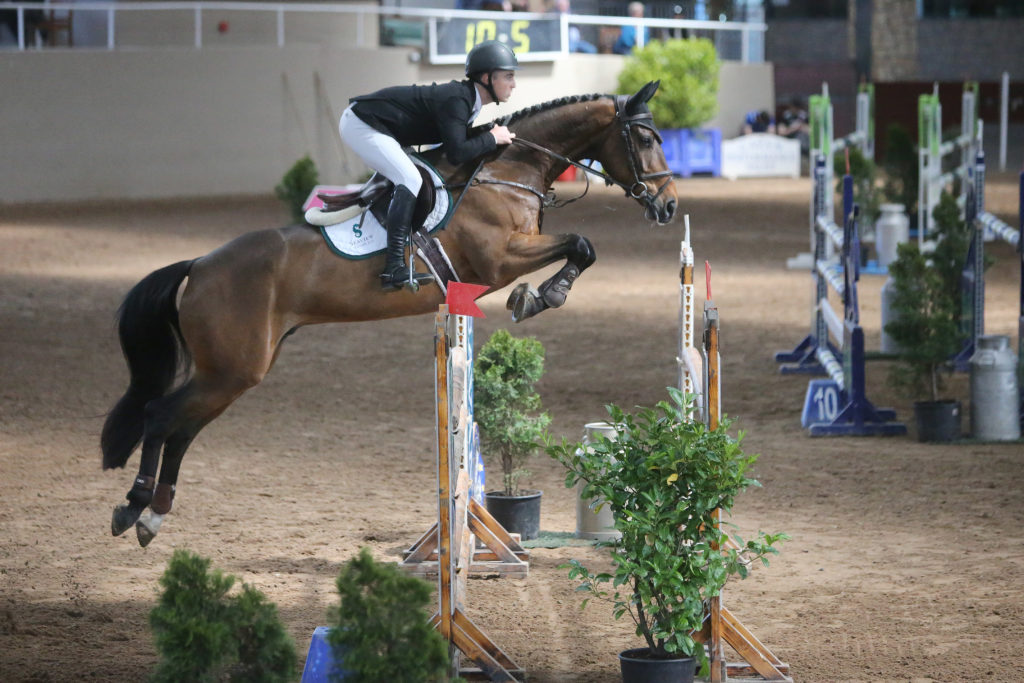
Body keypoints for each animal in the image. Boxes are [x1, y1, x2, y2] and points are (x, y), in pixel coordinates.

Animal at [101, 78, 679, 544]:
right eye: (646, 139)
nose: (669, 205)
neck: (506, 170)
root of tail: (199, 265)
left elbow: (582, 247)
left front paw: (539, 296)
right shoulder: (499, 258)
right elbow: (581, 244)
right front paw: (540, 296)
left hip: (234, 370)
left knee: (182, 429)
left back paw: (154, 516)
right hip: (231, 368)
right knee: (161, 417)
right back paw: (133, 507)